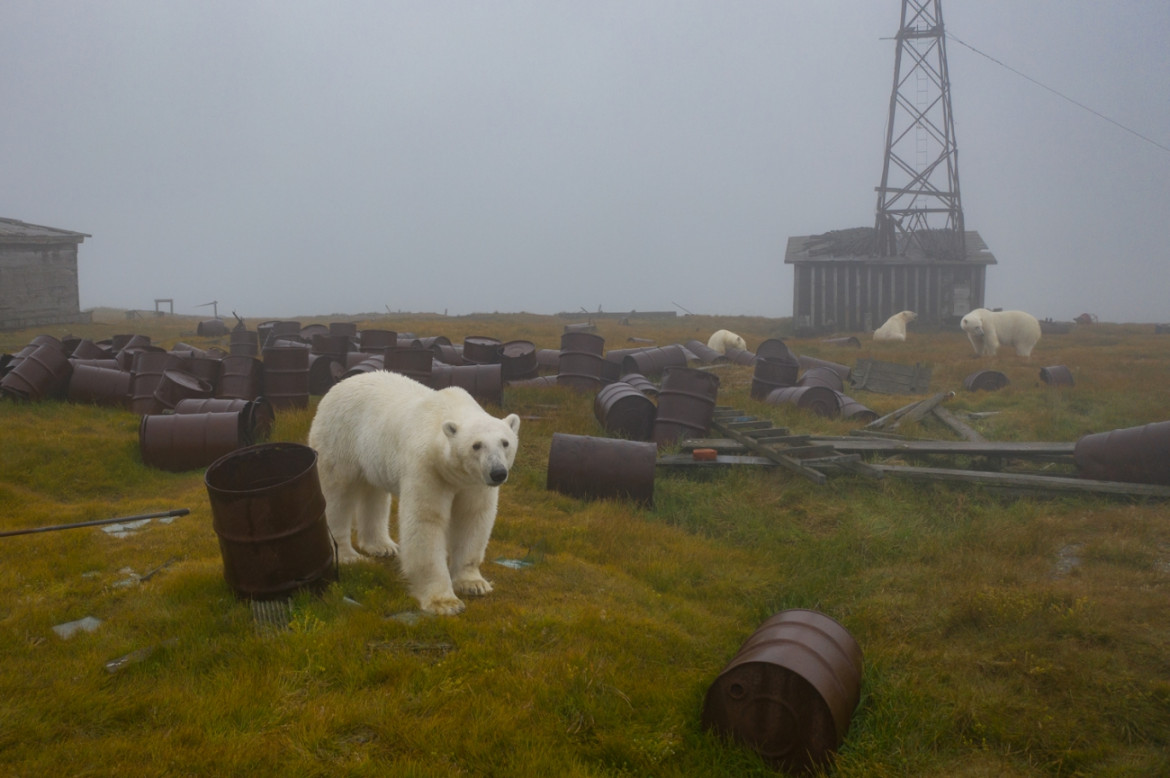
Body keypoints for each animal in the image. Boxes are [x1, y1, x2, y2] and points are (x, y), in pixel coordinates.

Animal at [308, 369, 519, 613]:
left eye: (505, 442)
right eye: (476, 445)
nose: (498, 473)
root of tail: (339, 384)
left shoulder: (473, 482)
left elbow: (472, 517)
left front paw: (474, 584)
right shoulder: (427, 467)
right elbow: (426, 520)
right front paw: (444, 602)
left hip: (373, 454)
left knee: (374, 493)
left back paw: (383, 546)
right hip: (339, 438)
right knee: (337, 494)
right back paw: (348, 555)